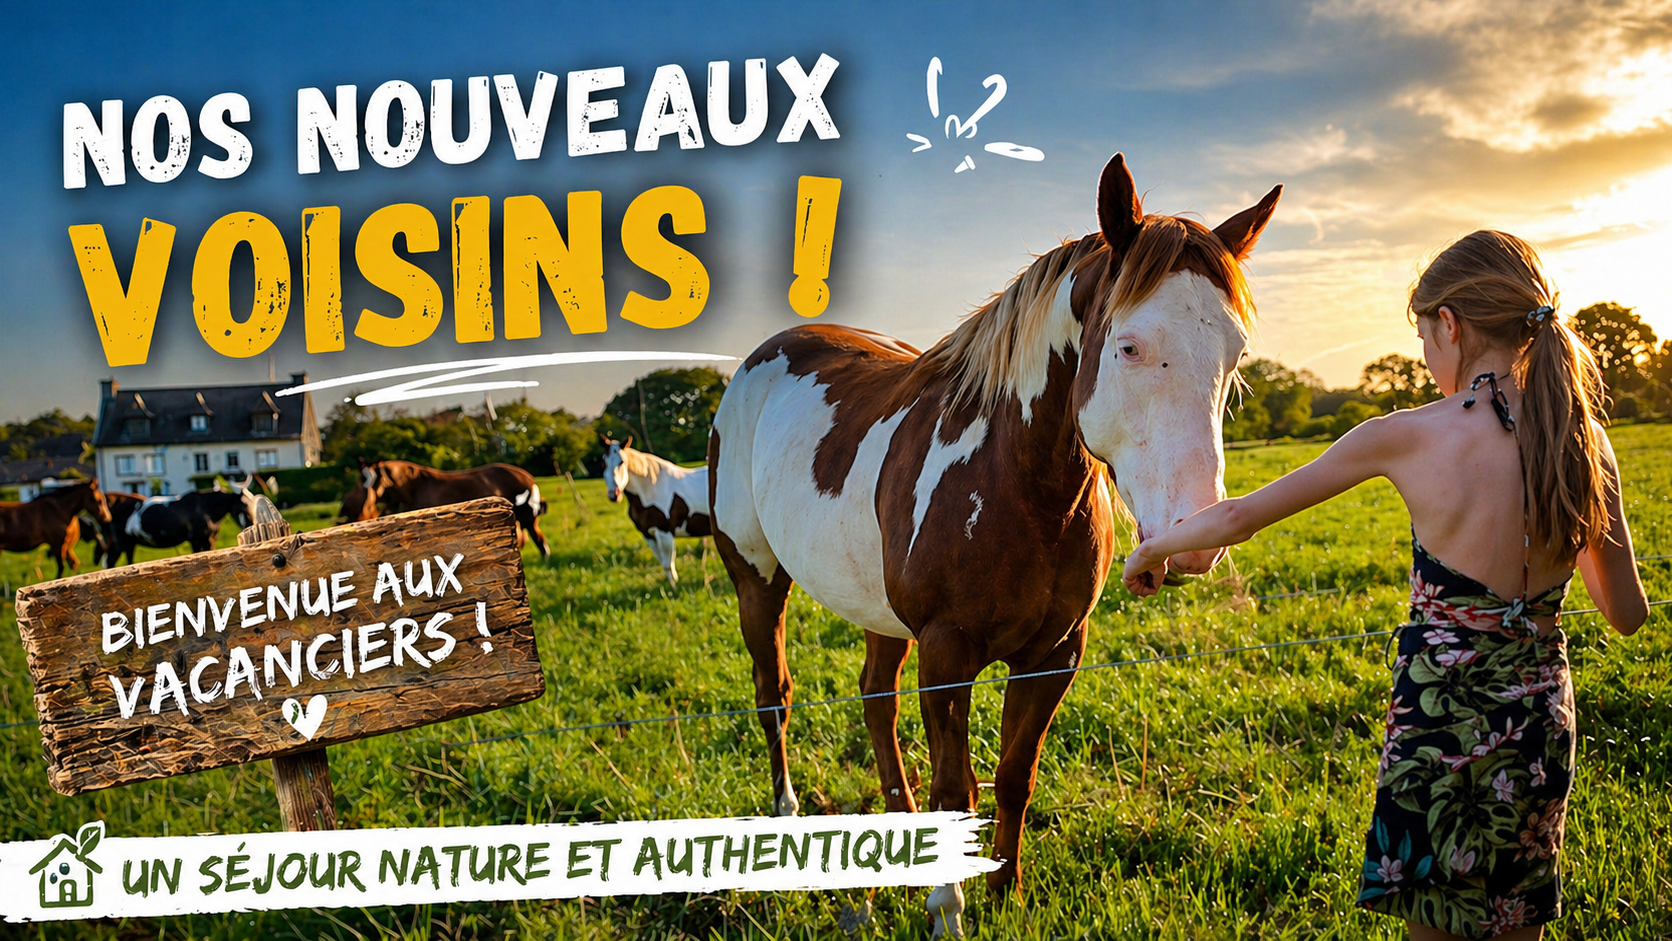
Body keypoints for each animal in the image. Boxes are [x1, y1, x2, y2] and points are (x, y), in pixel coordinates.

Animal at [360, 460, 549, 557]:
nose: (367, 503)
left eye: (374, 478)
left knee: (539, 541)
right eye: (363, 478)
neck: (418, 486)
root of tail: (528, 477)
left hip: (528, 519)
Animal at [602, 435, 712, 586]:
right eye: (603, 463)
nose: (614, 495)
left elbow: (668, 563)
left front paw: (674, 588)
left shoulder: (664, 533)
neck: (651, 489)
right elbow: (664, 563)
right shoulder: (648, 535)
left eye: (622, 462)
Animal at [709, 154, 1279, 935]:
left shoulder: (1054, 653)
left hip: (880, 612)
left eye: (1236, 352)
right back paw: (788, 816)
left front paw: (1005, 890)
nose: (1193, 541)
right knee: (775, 695)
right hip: (756, 579)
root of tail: (761, 360)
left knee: (875, 701)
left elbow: (1013, 775)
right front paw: (948, 909)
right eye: (1129, 346)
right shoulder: (947, 653)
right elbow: (957, 787)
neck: (1016, 482)